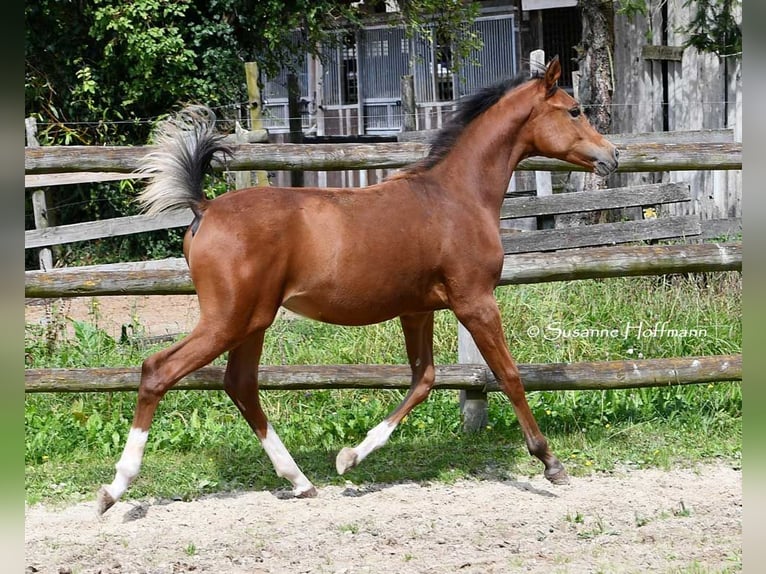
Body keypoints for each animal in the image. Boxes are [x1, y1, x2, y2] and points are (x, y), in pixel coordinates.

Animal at [97, 56, 616, 516]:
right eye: (574, 110)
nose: (611, 155)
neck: (456, 198)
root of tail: (203, 209)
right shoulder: (475, 301)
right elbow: (508, 375)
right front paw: (550, 462)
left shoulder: (418, 308)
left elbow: (424, 379)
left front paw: (349, 457)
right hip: (228, 319)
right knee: (158, 370)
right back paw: (114, 489)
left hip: (253, 322)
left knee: (240, 385)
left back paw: (300, 481)